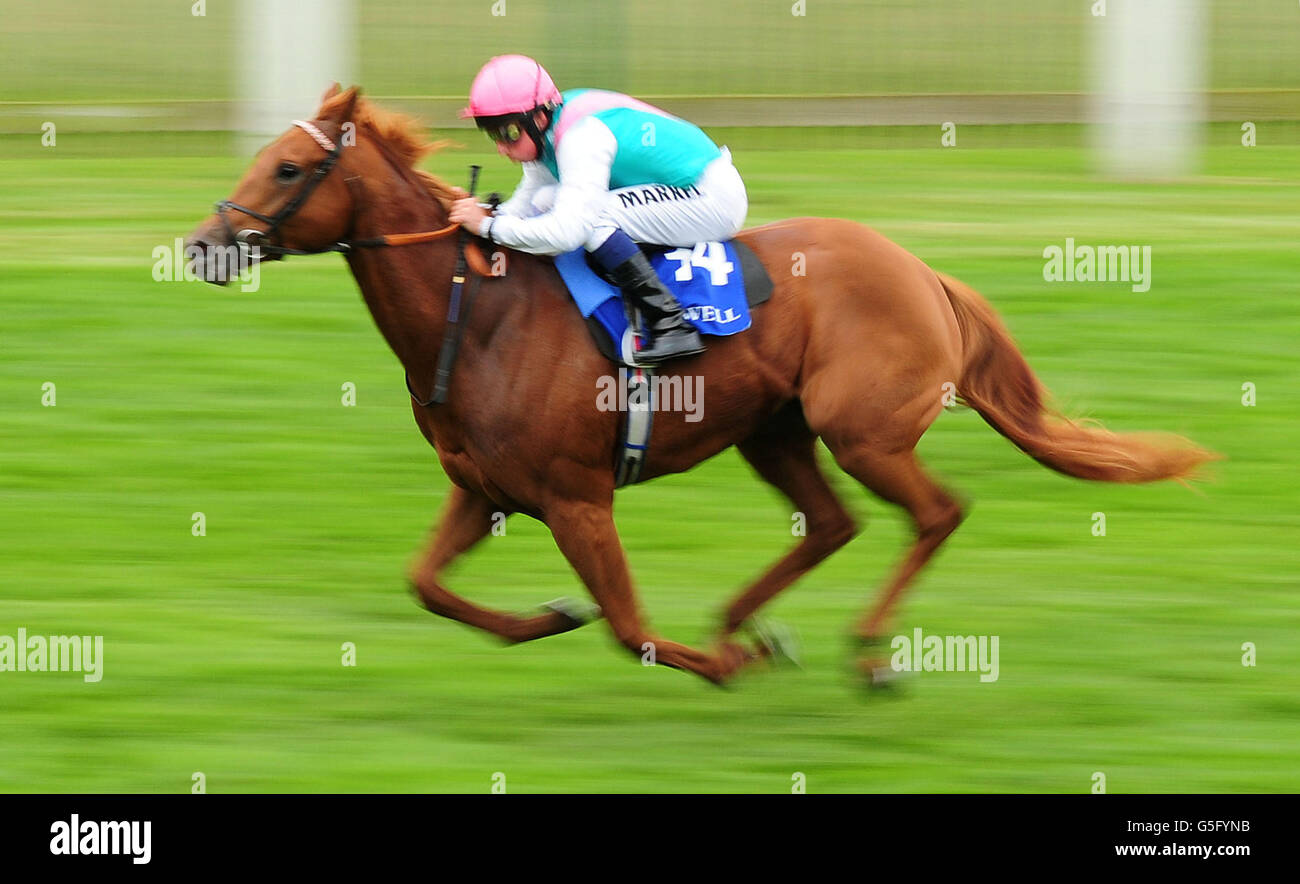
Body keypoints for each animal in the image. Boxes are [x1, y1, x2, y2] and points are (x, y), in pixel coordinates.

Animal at [185, 87, 1216, 681]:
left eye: (286, 165)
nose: (200, 245)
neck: (473, 316)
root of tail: (922, 271)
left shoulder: (577, 497)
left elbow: (627, 623)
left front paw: (714, 662)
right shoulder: (484, 491)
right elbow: (428, 586)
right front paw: (547, 616)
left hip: (862, 429)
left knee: (936, 513)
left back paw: (859, 653)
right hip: (775, 430)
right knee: (834, 523)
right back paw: (753, 625)